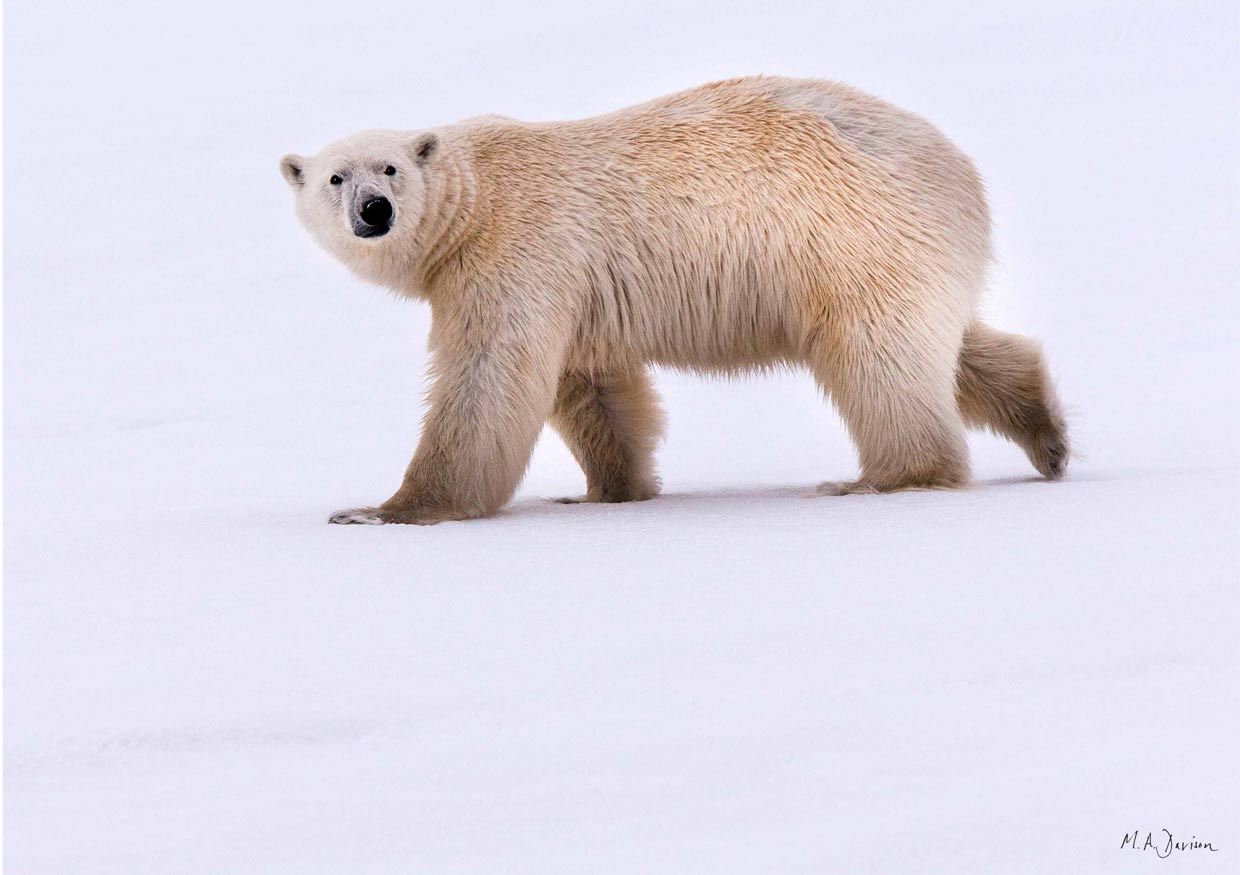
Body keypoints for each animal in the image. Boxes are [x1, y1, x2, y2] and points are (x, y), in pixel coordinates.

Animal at [279, 75, 1068, 525]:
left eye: (388, 169)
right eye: (334, 178)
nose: (373, 210)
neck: (475, 199)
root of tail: (959, 171)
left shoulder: (516, 251)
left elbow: (487, 380)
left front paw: (382, 510)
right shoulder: (572, 287)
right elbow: (592, 386)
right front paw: (607, 490)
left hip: (844, 233)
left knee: (876, 356)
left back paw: (883, 479)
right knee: (947, 344)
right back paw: (1046, 432)